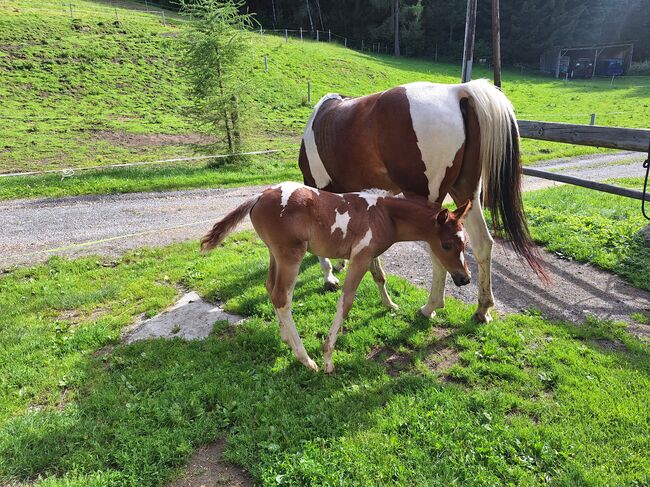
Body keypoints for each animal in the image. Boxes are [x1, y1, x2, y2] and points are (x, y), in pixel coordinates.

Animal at [200, 183, 468, 374]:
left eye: (464, 243)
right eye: (446, 245)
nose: (464, 279)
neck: (385, 214)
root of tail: (258, 197)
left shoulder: (369, 254)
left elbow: (379, 276)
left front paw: (390, 304)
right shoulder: (360, 257)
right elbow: (346, 301)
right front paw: (328, 357)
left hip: (274, 253)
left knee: (270, 287)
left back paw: (286, 337)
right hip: (291, 255)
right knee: (282, 297)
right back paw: (306, 360)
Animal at [298, 80, 540, 324]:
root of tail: (458, 91)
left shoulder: (318, 188)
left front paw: (329, 275)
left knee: (437, 249)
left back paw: (430, 307)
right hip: (466, 192)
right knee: (483, 243)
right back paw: (483, 309)